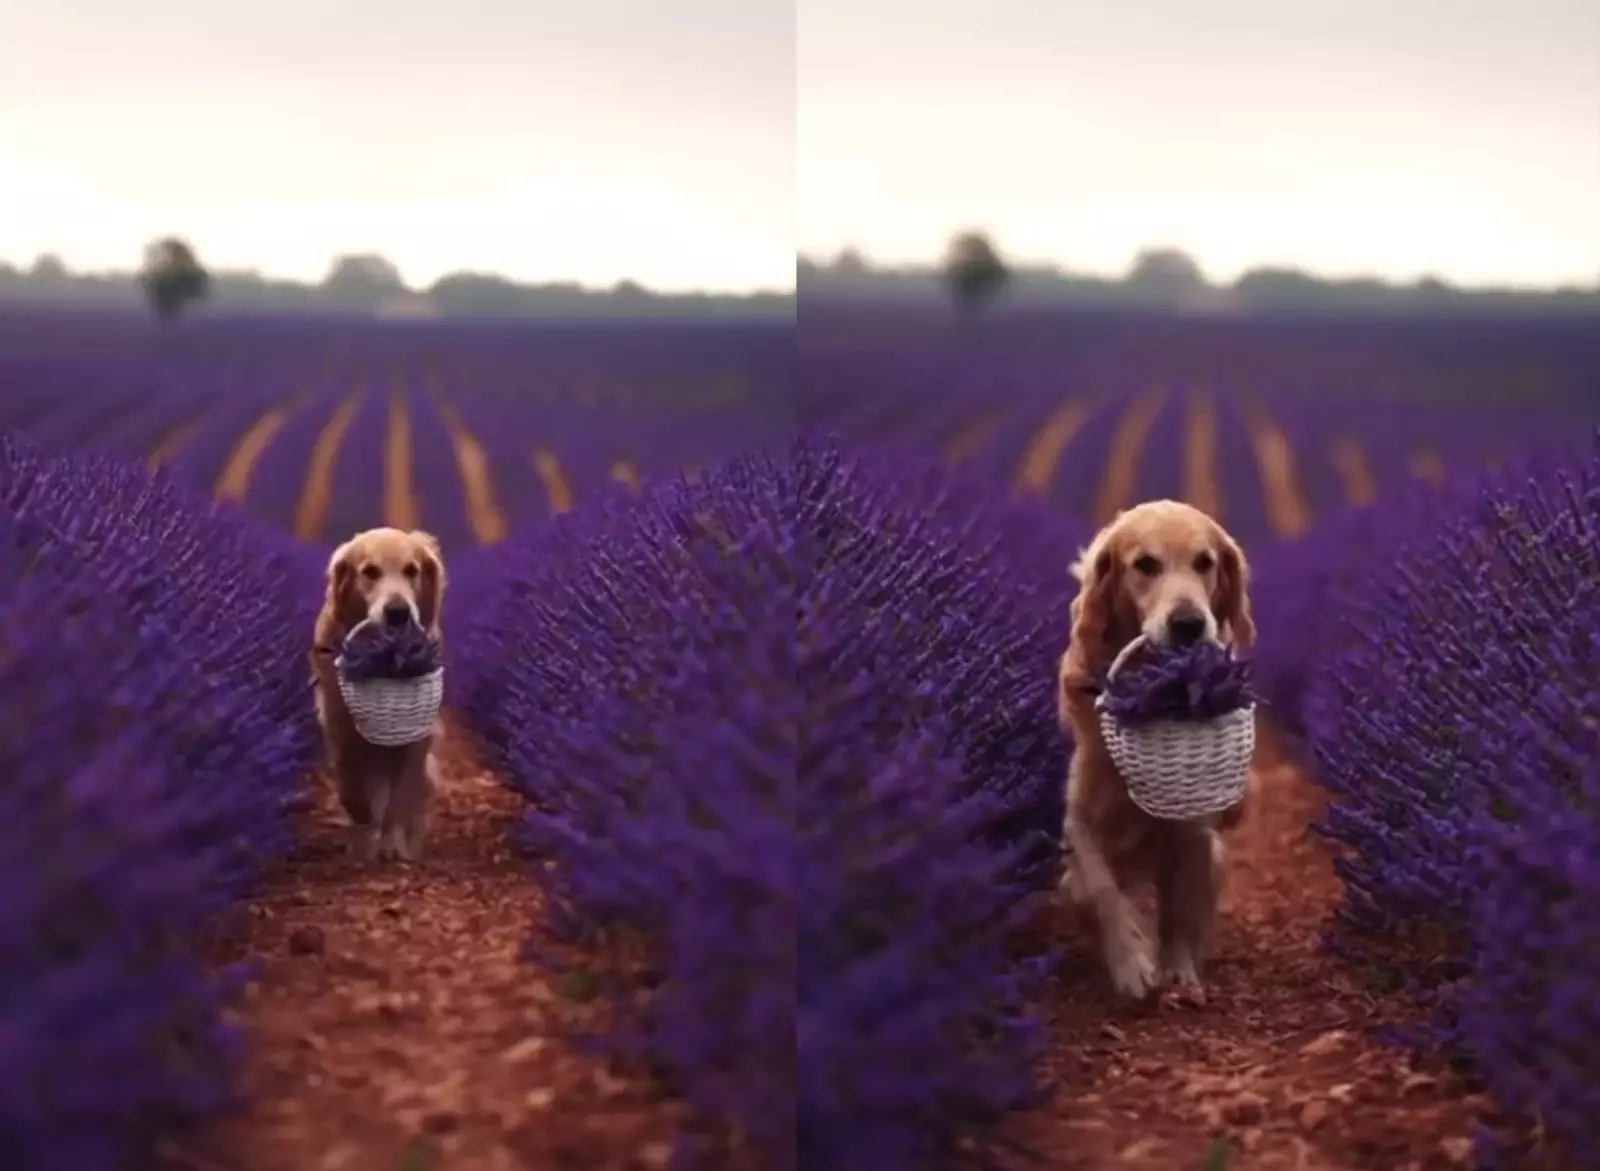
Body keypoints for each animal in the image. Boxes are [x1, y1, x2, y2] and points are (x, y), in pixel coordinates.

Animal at [308, 524, 448, 863]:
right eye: (370, 572)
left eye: (412, 570)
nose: (398, 612)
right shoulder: (339, 725)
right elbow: (350, 785)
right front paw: (362, 825)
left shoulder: (417, 739)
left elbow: (399, 798)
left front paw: (390, 846)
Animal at [1056, 499, 1254, 1004]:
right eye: (1145, 564)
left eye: (1205, 562)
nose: (1188, 624)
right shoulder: (1079, 820)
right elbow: (1101, 891)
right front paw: (1130, 963)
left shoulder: (1193, 832)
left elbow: (1180, 912)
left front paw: (1178, 971)